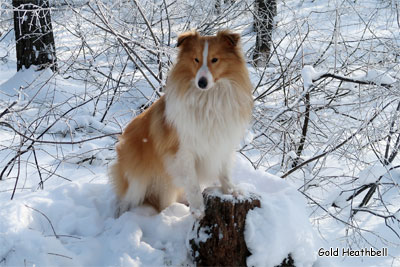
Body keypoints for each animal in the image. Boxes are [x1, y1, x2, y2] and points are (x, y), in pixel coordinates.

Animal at [109, 29, 253, 218]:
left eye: (215, 59)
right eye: (196, 59)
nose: (202, 82)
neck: (208, 98)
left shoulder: (222, 143)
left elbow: (225, 173)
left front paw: (231, 191)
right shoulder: (183, 151)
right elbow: (193, 183)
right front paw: (198, 208)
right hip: (136, 179)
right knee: (125, 199)